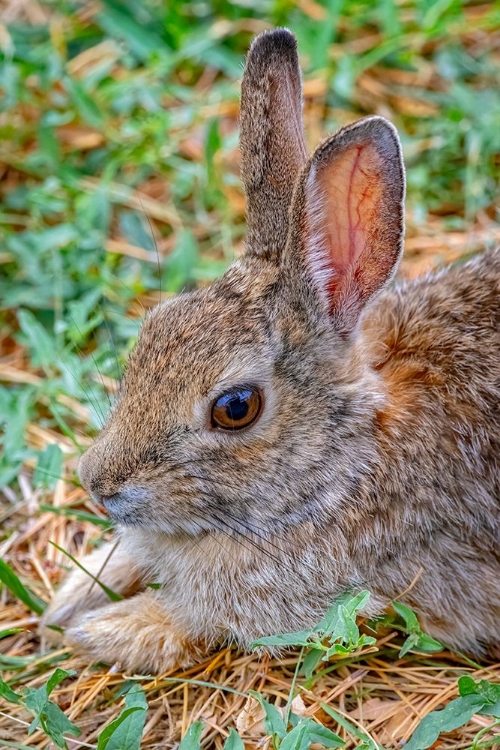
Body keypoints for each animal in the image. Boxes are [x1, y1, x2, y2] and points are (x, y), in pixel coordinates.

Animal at [40, 29, 500, 676]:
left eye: (236, 408)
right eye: (154, 326)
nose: (97, 483)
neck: (344, 461)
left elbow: (186, 624)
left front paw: (95, 632)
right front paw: (69, 598)